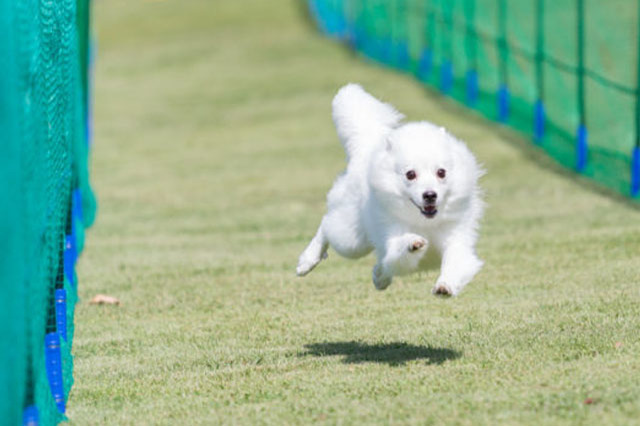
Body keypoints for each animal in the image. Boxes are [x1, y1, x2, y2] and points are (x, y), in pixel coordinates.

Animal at [298, 83, 482, 296]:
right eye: (410, 174)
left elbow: (456, 264)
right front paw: (413, 243)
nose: (430, 195)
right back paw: (307, 261)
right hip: (352, 240)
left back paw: (380, 277)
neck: (425, 222)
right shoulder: (392, 239)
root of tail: (366, 147)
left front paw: (445, 286)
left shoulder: (457, 241)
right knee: (327, 225)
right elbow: (400, 248)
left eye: (441, 172)